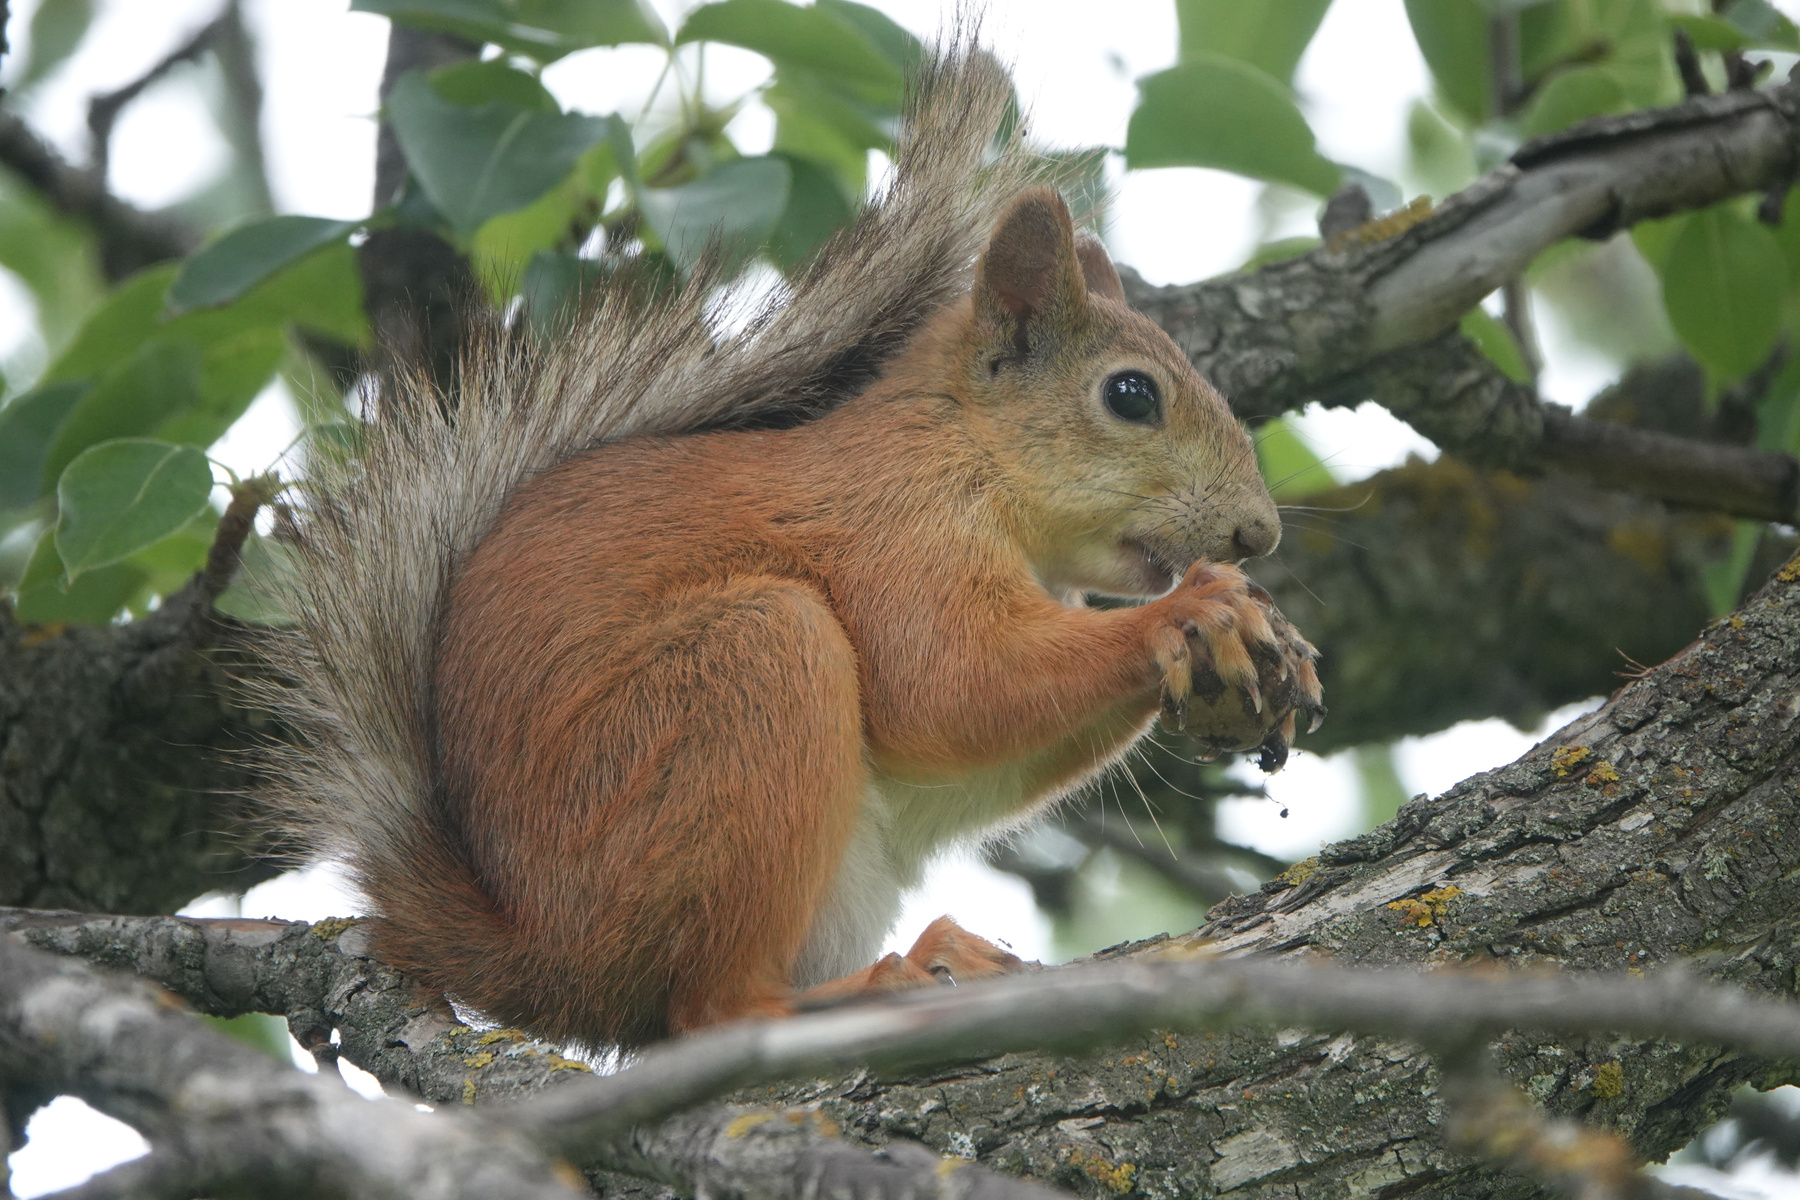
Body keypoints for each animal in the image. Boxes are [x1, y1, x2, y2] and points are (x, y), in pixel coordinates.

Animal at [258, 46, 1324, 1049]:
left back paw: (939, 951)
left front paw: (1267, 643)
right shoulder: (898, 530)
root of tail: (538, 960)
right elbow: (950, 683)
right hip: (741, 682)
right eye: (1132, 395)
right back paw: (865, 991)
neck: (965, 451)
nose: (1259, 532)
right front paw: (1196, 610)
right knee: (714, 1011)